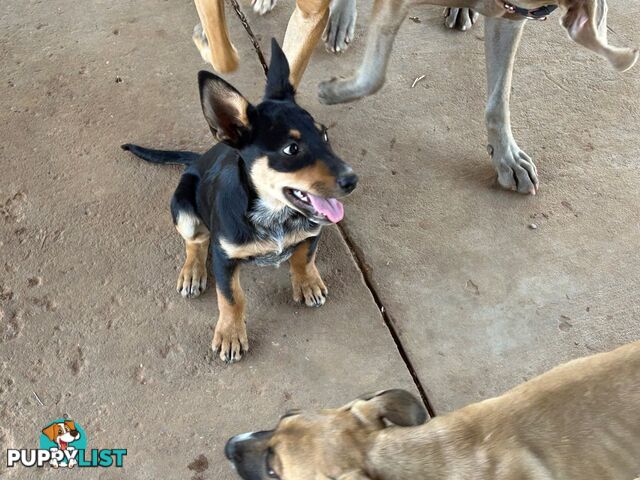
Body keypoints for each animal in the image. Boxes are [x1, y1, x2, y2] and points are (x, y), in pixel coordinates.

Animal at [122, 40, 358, 364]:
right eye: (291, 148)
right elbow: (231, 298)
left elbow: (304, 257)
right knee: (196, 241)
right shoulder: (224, 258)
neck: (275, 215)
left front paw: (307, 282)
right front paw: (230, 335)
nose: (353, 180)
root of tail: (197, 160)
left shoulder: (312, 231)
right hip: (183, 208)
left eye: (324, 134)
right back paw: (193, 273)